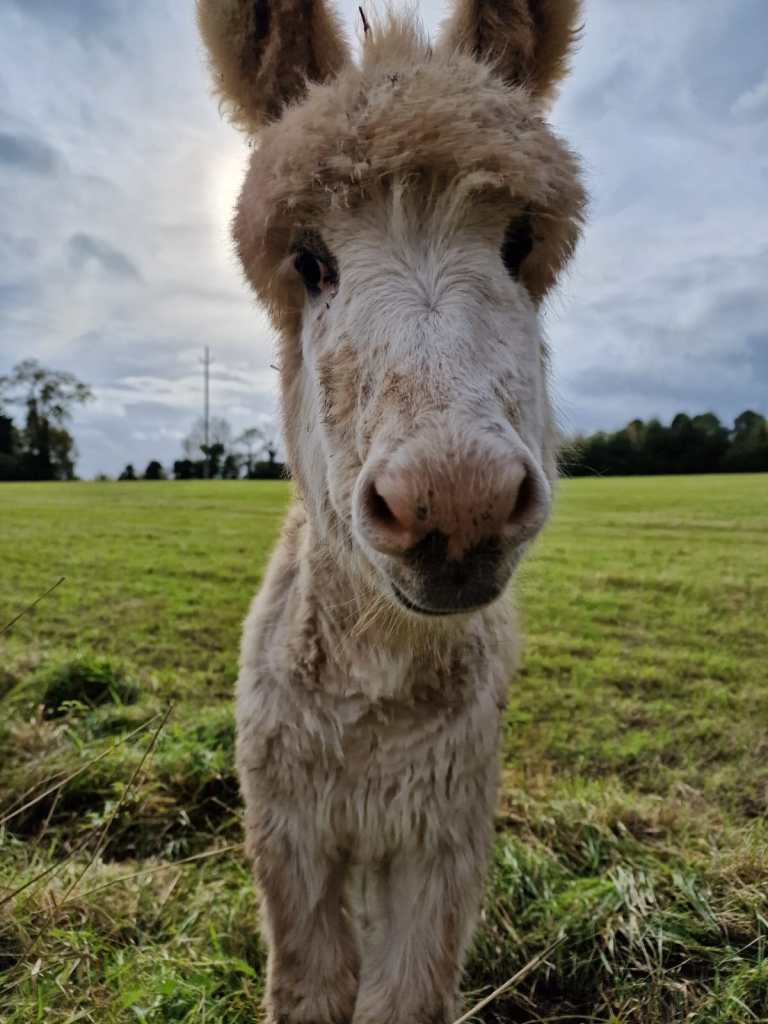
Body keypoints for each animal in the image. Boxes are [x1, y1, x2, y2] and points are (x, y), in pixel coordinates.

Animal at [197, 1, 586, 1020]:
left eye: (519, 245)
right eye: (309, 262)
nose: (456, 501)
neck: (378, 689)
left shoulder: (441, 838)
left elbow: (403, 995)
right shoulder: (290, 835)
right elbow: (309, 985)